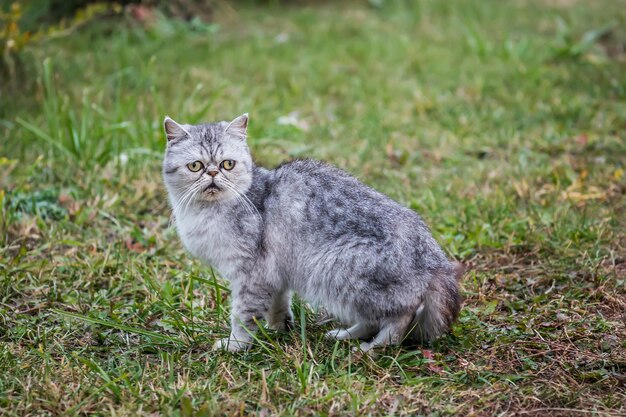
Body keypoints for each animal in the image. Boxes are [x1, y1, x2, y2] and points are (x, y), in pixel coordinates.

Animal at [162, 114, 464, 352]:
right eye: (195, 166)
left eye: (227, 164)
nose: (212, 174)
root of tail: (435, 262)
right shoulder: (273, 274)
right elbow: (278, 305)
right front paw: (280, 328)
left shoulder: (252, 274)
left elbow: (243, 315)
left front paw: (236, 345)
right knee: (372, 319)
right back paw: (345, 336)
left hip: (340, 271)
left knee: (400, 315)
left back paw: (373, 347)